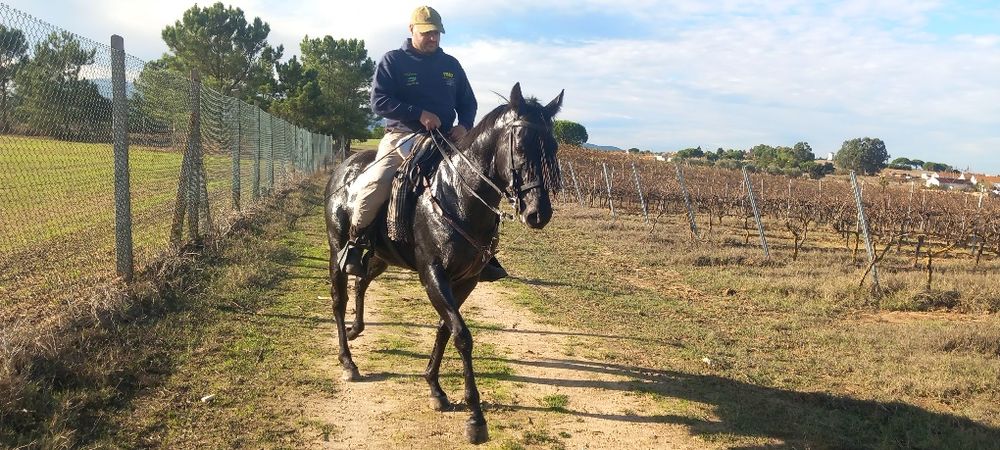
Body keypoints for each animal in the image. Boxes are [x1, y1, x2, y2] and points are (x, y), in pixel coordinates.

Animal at [323, 83, 563, 444]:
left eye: (553, 146)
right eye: (520, 145)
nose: (539, 213)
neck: (458, 196)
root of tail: (344, 168)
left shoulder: (466, 279)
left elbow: (444, 328)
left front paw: (435, 388)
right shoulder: (433, 274)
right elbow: (462, 335)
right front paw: (475, 417)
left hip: (381, 256)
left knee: (361, 280)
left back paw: (356, 329)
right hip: (337, 249)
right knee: (339, 298)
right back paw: (348, 362)